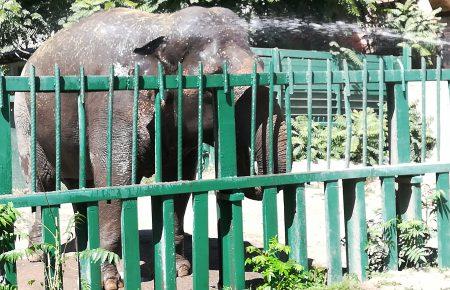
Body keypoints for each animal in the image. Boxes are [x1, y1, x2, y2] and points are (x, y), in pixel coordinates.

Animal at [15, 5, 286, 288]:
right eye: (213, 81)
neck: (162, 27)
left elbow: (178, 183)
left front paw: (180, 270)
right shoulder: (115, 102)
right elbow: (113, 182)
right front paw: (110, 282)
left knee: (79, 188)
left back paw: (82, 250)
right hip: (24, 115)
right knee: (42, 182)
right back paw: (38, 252)